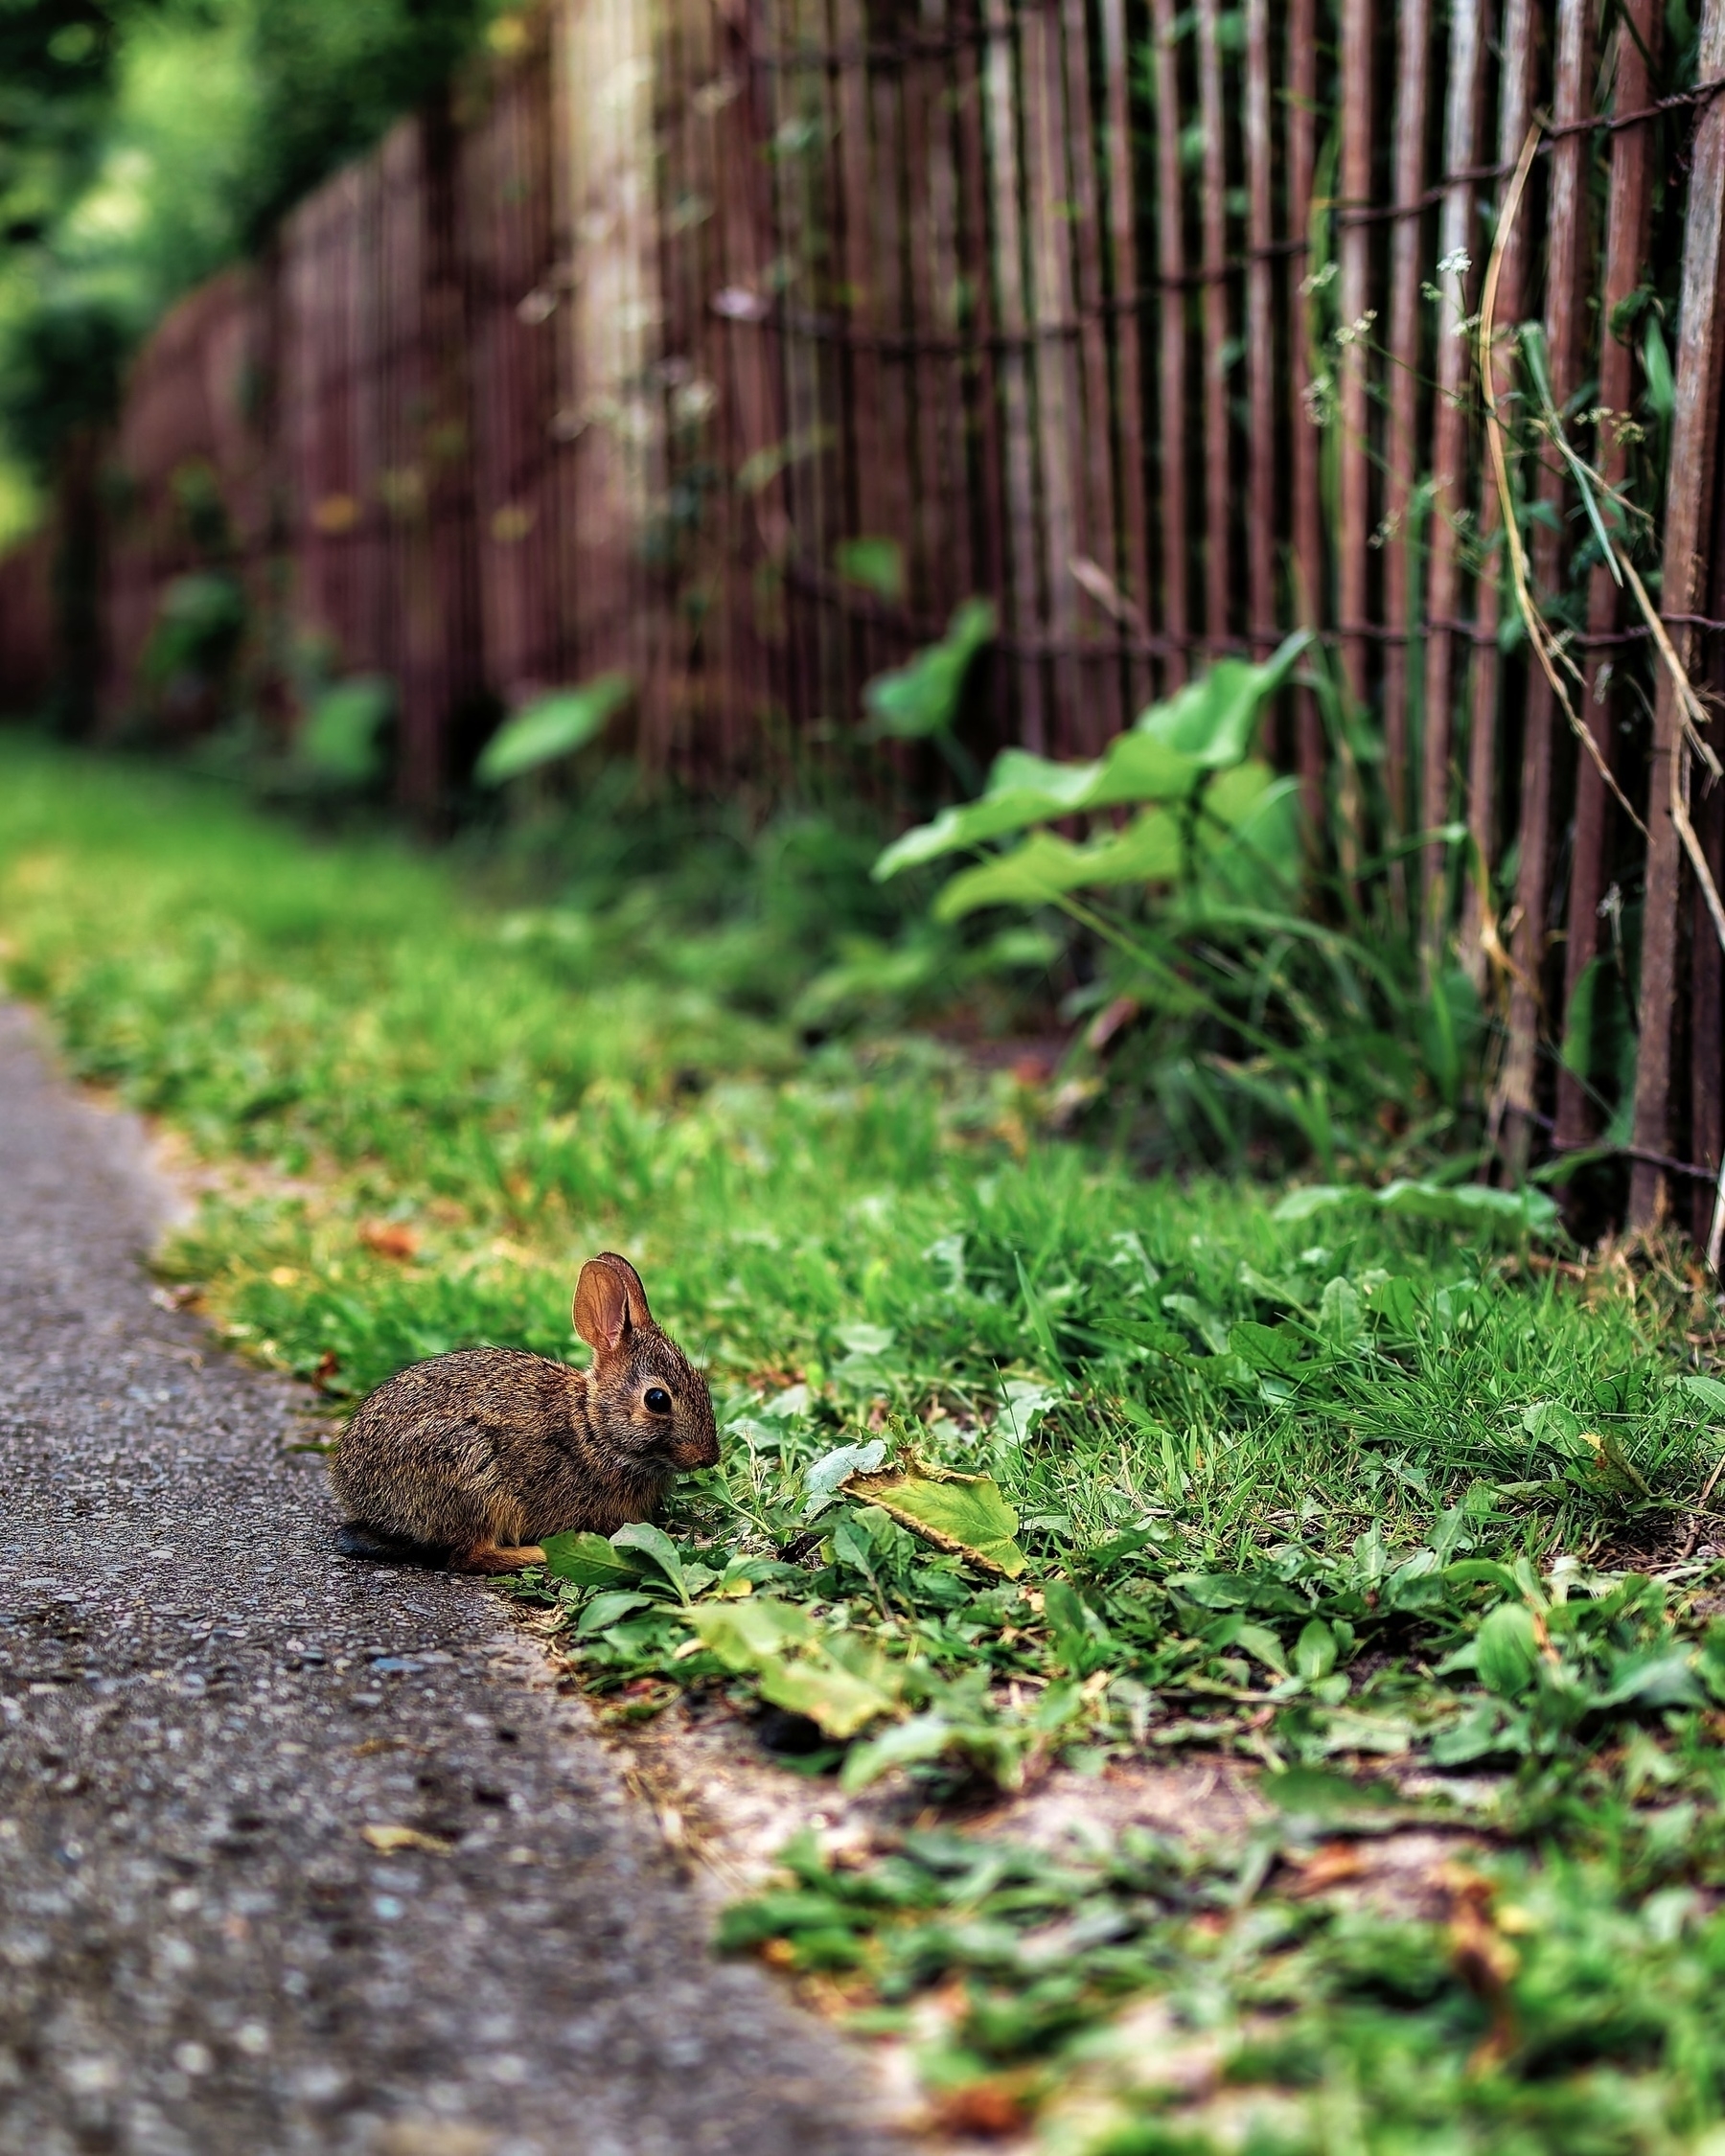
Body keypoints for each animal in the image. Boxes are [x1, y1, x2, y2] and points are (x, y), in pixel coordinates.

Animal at [330, 1259, 720, 1578]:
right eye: (657, 1400)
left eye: (702, 1383)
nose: (708, 1457)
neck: (595, 1429)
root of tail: (355, 1491)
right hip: (473, 1479)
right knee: (469, 1557)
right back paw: (538, 1553)